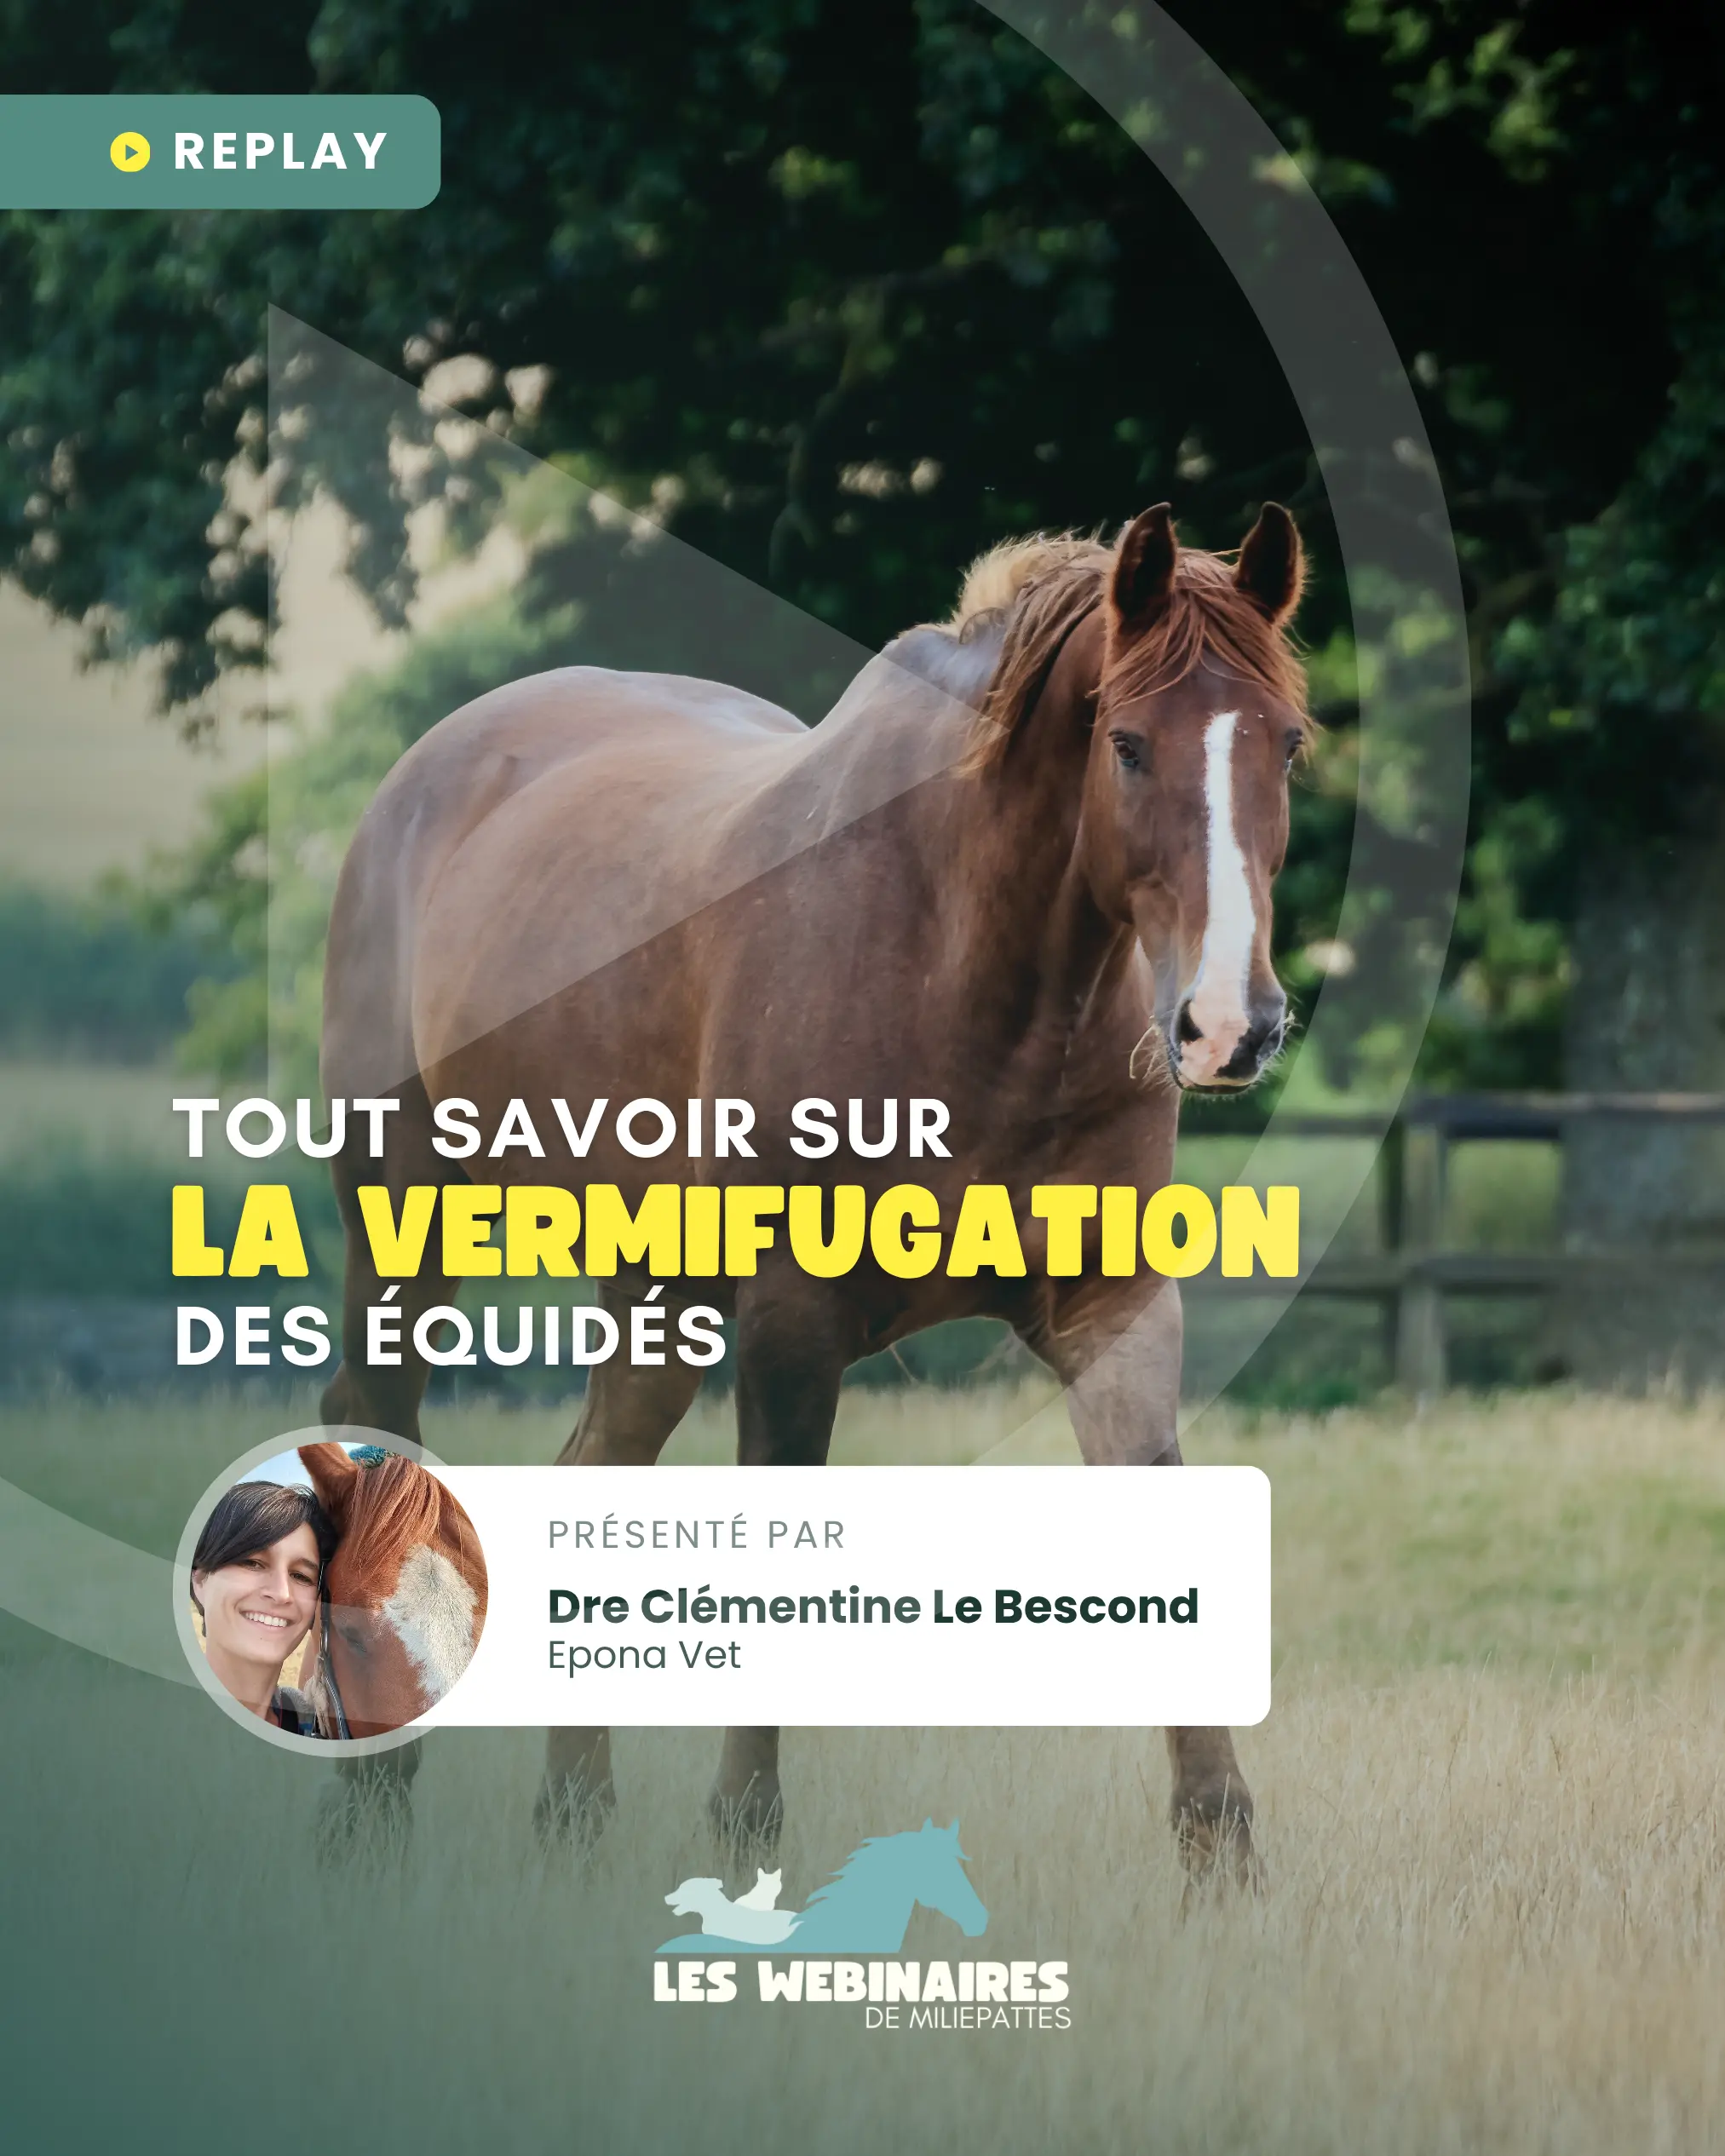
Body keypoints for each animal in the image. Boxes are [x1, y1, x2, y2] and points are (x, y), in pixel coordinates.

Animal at [317, 500, 1308, 1882]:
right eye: (1126, 742)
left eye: (1288, 741)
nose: (1229, 1027)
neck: (965, 959)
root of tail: (426, 773)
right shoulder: (794, 1324)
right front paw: (744, 1842)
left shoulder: (1112, 1311)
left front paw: (1220, 1854)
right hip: (408, 1210)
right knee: (377, 1419)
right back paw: (369, 1798)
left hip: (656, 1278)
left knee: (595, 1466)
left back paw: (572, 1812)